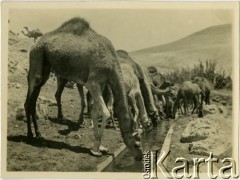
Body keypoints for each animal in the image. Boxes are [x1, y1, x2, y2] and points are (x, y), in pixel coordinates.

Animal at [23, 17, 142, 160]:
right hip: (37, 56)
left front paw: (100, 147)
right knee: (31, 95)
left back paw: (38, 134)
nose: (140, 157)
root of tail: (35, 44)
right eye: (136, 144)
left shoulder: (100, 83)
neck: (112, 62)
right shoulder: (93, 82)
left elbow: (96, 112)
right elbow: (105, 112)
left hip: (45, 65)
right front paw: (96, 149)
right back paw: (30, 135)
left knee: (33, 99)